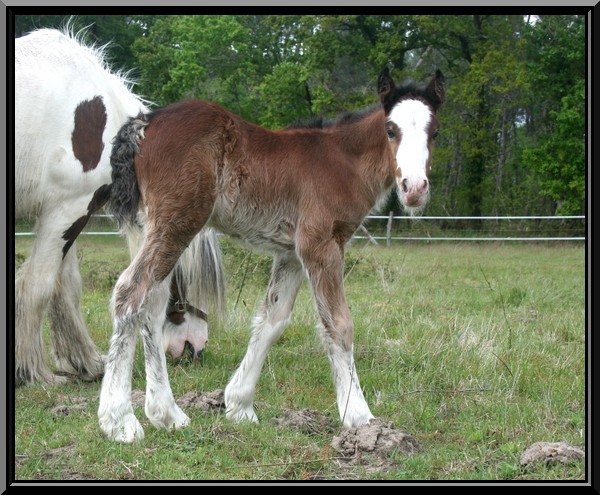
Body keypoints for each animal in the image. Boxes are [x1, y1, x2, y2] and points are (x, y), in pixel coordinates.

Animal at [99, 66, 446, 442]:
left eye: (435, 132)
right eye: (390, 129)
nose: (414, 188)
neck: (342, 161)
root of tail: (144, 123)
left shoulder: (292, 253)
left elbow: (273, 320)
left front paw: (239, 404)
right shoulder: (320, 243)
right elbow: (339, 324)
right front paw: (359, 416)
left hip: (156, 227)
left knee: (152, 304)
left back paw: (166, 414)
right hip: (177, 223)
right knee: (130, 293)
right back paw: (120, 421)